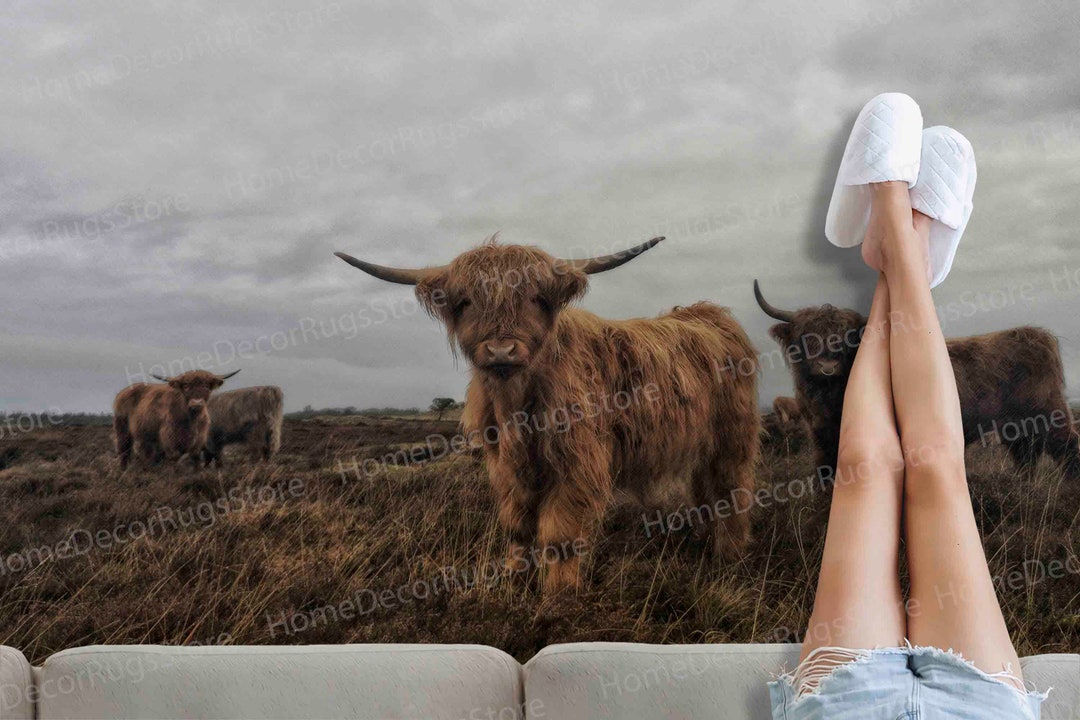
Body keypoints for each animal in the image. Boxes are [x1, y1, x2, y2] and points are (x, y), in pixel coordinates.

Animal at [336, 236, 761, 594]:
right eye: (466, 302)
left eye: (536, 298)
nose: (502, 350)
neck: (516, 409)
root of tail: (709, 314)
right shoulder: (504, 466)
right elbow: (517, 526)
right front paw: (513, 580)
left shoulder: (578, 463)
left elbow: (559, 535)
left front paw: (558, 597)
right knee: (705, 488)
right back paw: (706, 541)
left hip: (734, 436)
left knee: (732, 489)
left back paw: (730, 556)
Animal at [754, 279, 1080, 480]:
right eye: (806, 337)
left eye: (847, 338)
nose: (827, 367)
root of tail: (1036, 335)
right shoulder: (822, 439)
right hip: (1015, 426)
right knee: (1027, 456)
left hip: (1048, 412)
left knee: (1066, 447)